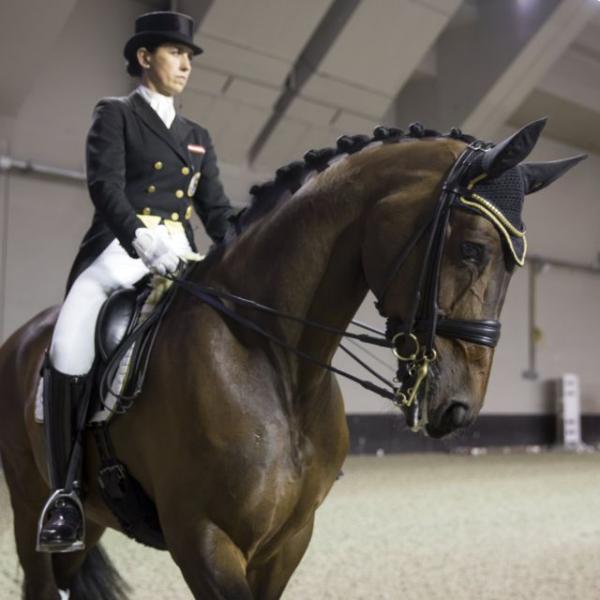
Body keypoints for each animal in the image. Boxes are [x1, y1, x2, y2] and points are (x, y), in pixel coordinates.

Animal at [0, 120, 584, 599]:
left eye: (515, 265)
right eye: (471, 249)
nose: (460, 408)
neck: (276, 366)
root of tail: (22, 336)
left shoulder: (287, 541)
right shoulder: (203, 539)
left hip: (95, 519)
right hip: (32, 505)